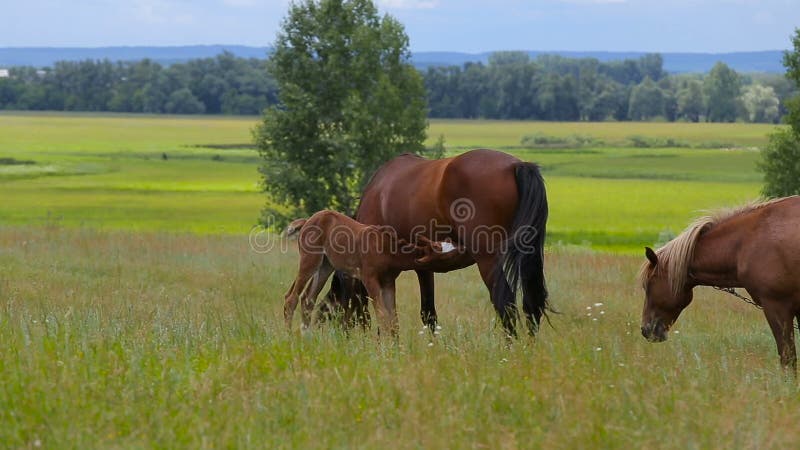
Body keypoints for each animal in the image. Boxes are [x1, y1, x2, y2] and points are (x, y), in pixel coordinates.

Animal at [284, 211, 462, 334]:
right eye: (446, 256)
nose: (462, 247)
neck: (387, 250)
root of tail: (307, 221)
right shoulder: (369, 279)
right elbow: (382, 316)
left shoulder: (388, 283)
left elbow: (393, 320)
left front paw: (396, 351)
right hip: (310, 260)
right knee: (291, 297)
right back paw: (290, 337)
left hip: (325, 266)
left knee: (308, 299)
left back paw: (308, 337)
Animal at [324, 149, 552, 338]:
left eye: (333, 305)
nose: (341, 335)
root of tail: (516, 165)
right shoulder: (423, 265)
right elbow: (428, 313)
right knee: (532, 305)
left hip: (487, 261)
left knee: (505, 304)